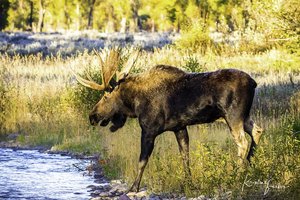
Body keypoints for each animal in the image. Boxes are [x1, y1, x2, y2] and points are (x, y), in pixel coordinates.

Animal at [72, 48, 262, 192]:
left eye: (105, 96)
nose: (92, 116)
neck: (134, 102)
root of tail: (254, 83)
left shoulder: (149, 130)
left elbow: (142, 160)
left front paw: (134, 187)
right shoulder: (179, 127)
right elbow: (185, 157)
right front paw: (188, 183)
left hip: (233, 116)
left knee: (242, 142)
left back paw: (238, 174)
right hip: (243, 116)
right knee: (258, 130)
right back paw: (251, 164)